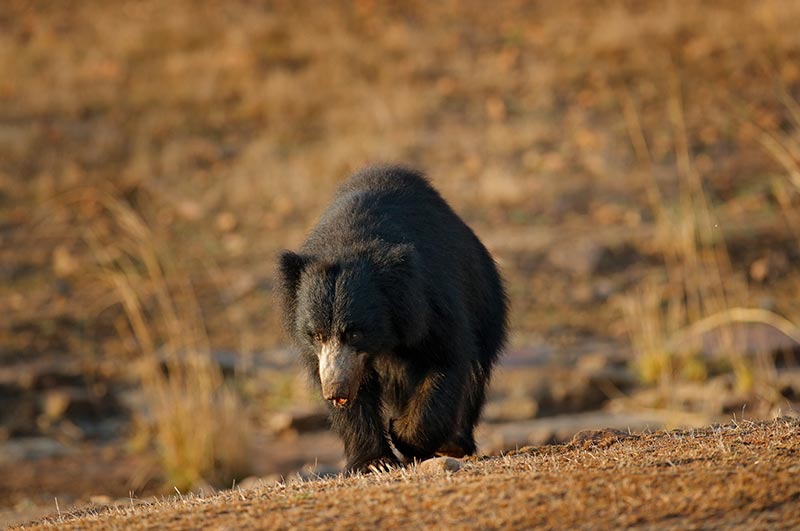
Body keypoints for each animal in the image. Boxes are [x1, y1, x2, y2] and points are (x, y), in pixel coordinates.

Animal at [278, 166, 510, 474]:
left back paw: (453, 444)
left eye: (355, 333)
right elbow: (356, 396)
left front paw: (404, 435)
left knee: (475, 372)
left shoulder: (430, 301)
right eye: (316, 334)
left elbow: (445, 359)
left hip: (485, 298)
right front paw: (374, 462)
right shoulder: (328, 357)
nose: (336, 391)